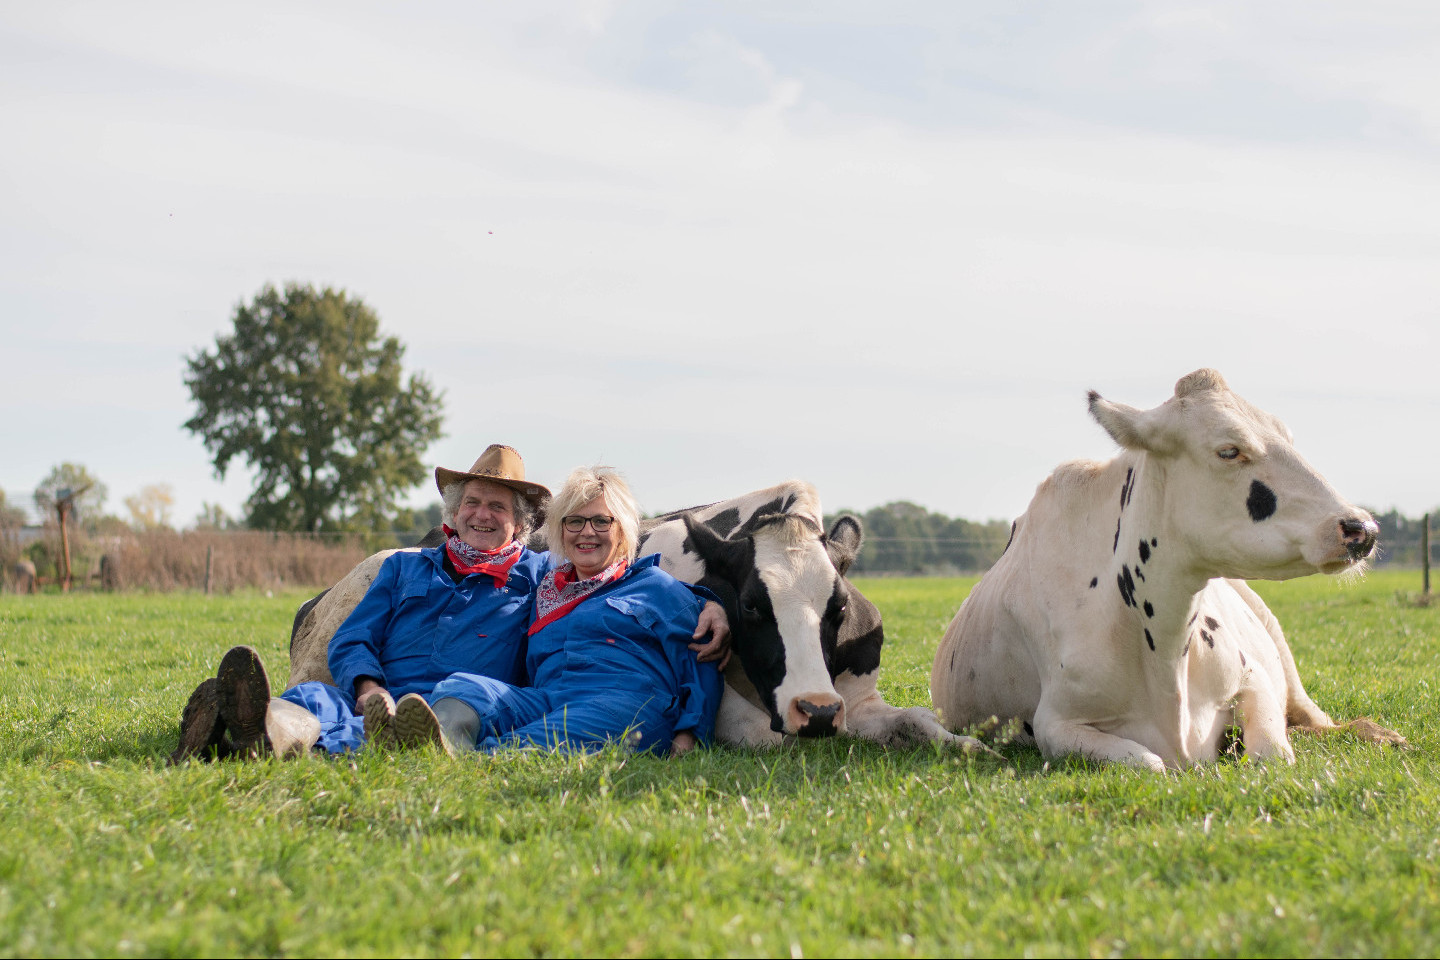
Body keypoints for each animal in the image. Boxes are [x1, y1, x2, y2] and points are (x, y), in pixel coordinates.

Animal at [933, 371, 1405, 771]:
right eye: (1229, 449)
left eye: (1288, 438)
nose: (1361, 528)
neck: (1163, 648)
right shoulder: (1056, 723)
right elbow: (1150, 762)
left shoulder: (1254, 677)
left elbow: (1272, 753)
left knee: (1321, 722)